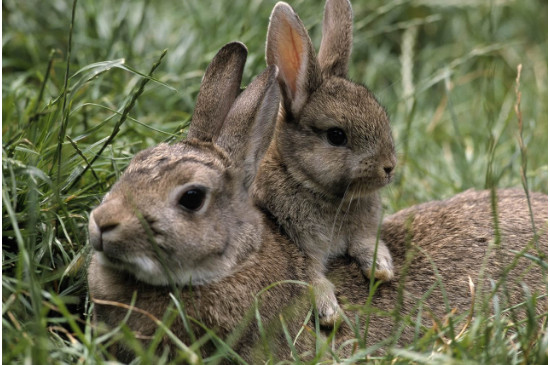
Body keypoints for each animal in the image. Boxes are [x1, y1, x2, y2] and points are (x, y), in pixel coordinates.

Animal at [252, 0, 398, 328]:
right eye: (336, 135)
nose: (389, 167)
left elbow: (365, 243)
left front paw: (381, 268)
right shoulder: (299, 246)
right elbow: (310, 277)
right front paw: (330, 312)